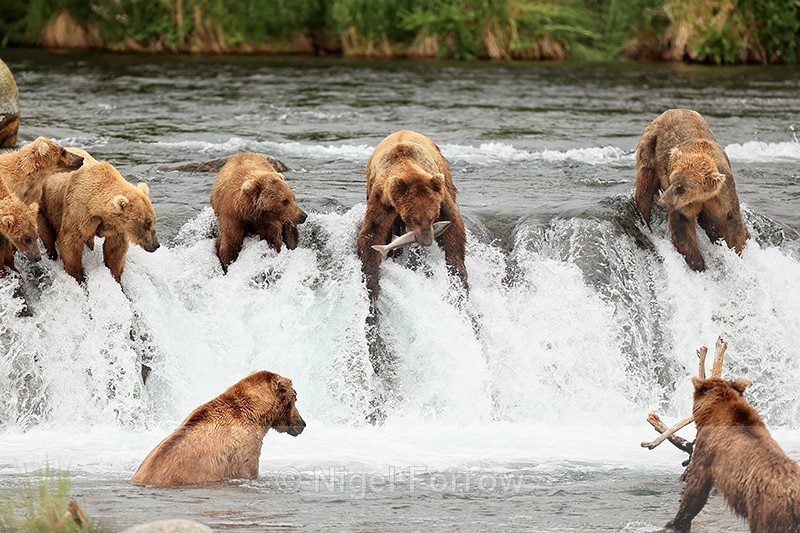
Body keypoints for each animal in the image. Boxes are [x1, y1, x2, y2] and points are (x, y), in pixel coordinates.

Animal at [356, 130, 467, 305]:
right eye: (415, 219)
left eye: (432, 217)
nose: (427, 241)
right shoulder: (383, 200)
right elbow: (372, 233)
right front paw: (372, 289)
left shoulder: (439, 195)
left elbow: (454, 225)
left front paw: (457, 272)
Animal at [635, 109, 746, 272]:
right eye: (671, 181)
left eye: (682, 188)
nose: (661, 204)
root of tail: (668, 111)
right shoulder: (682, 204)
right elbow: (682, 224)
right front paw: (698, 263)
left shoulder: (723, 193)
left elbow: (731, 221)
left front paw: (736, 253)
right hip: (649, 146)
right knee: (645, 186)